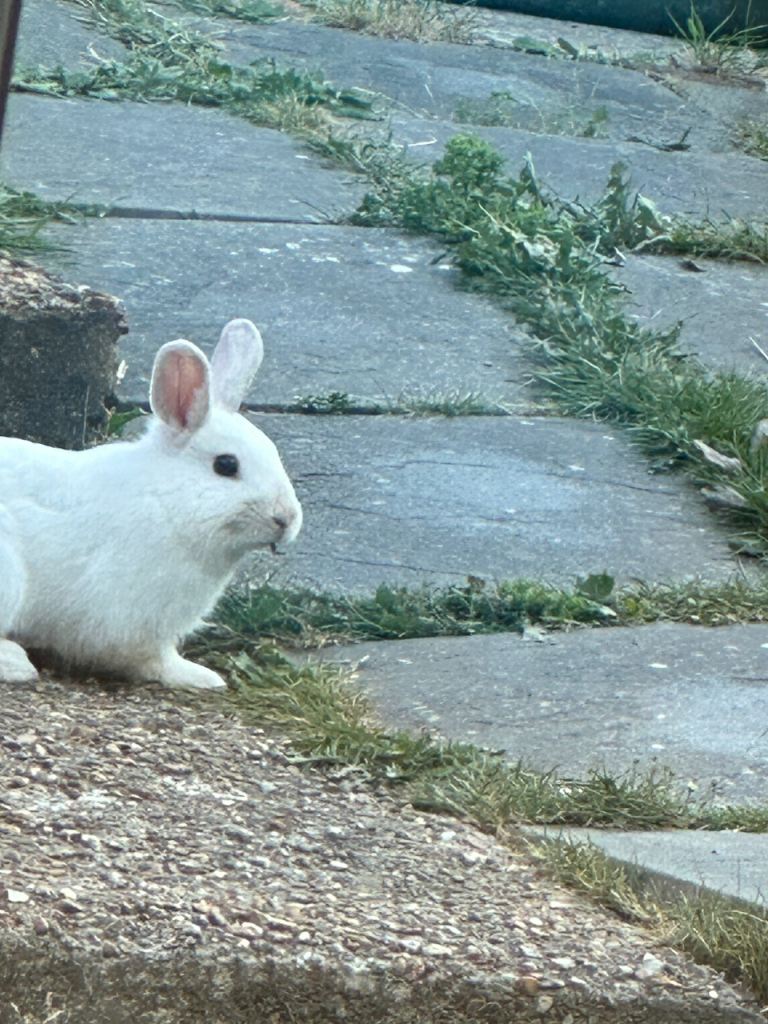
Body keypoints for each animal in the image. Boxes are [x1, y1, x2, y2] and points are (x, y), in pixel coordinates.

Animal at [0, 318, 302, 691]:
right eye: (226, 465)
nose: (286, 518)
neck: (165, 501)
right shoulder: (133, 624)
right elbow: (152, 660)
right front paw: (200, 677)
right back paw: (17, 664)